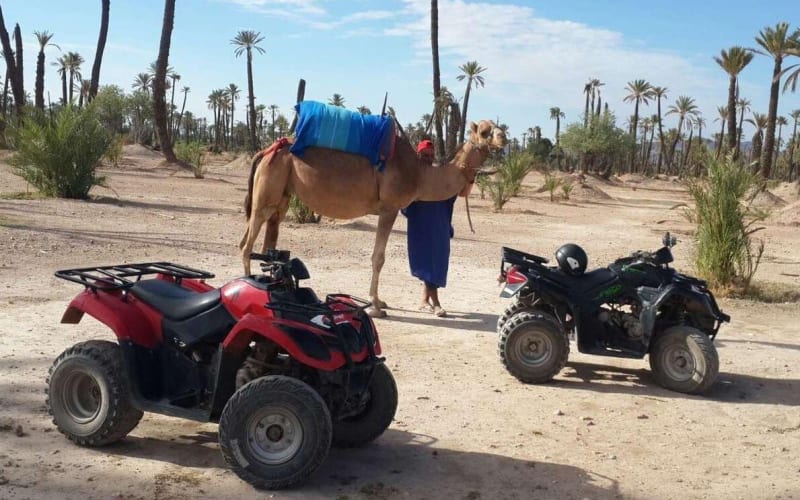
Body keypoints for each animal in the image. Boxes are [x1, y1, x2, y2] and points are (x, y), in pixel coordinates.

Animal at [239, 120, 506, 317]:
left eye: (498, 126)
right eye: (485, 131)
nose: (503, 137)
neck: (420, 175)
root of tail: (266, 151)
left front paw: (381, 301)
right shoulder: (389, 208)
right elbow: (379, 258)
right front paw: (376, 306)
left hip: (283, 195)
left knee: (268, 240)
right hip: (267, 190)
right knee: (247, 244)